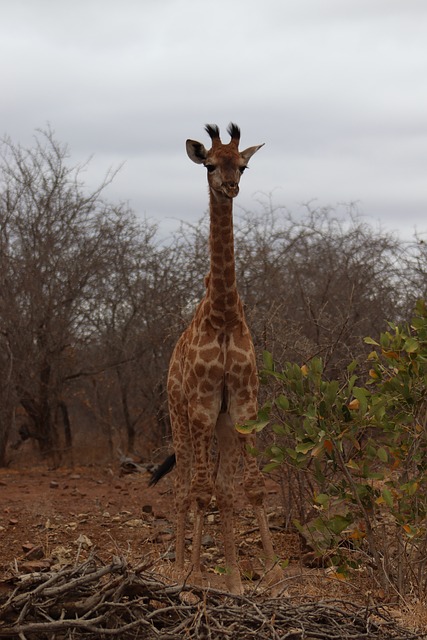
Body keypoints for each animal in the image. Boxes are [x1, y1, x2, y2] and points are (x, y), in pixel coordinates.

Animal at [155, 125, 282, 596]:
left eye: (242, 165)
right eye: (210, 164)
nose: (230, 187)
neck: (224, 315)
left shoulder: (242, 405)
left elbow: (250, 488)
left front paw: (263, 575)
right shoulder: (203, 407)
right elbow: (200, 490)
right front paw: (196, 573)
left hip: (221, 422)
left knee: (221, 487)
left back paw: (225, 574)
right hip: (179, 416)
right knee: (182, 487)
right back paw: (179, 565)